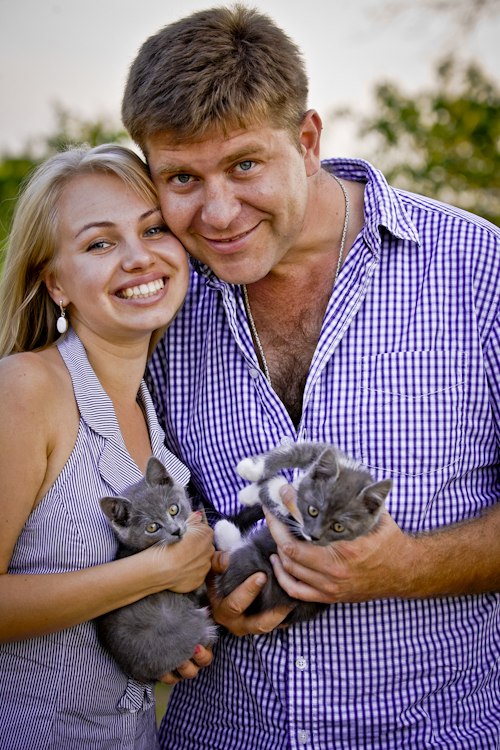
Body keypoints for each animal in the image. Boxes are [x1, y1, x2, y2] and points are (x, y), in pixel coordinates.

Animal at [214, 442, 392, 626]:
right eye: (313, 510)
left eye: (338, 527)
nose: (313, 535)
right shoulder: (329, 457)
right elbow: (295, 452)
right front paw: (250, 472)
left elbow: (280, 501)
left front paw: (268, 488)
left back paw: (224, 530)